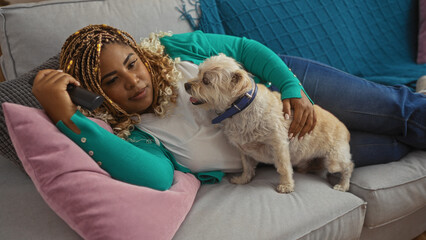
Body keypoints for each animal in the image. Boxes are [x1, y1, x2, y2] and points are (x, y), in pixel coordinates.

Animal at [185, 54, 354, 193]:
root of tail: (346, 130)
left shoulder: (279, 145)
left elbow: (284, 168)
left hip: (333, 160)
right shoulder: (244, 149)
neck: (240, 108)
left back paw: (343, 185)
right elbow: (247, 166)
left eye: (206, 81)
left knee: (348, 166)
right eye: (198, 72)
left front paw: (286, 186)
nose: (186, 85)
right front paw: (243, 179)